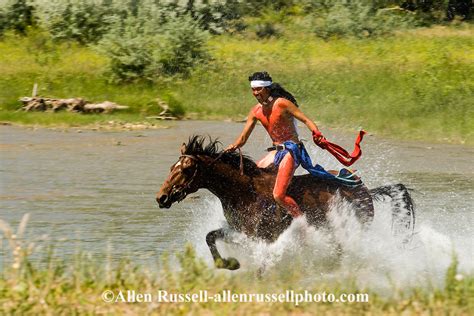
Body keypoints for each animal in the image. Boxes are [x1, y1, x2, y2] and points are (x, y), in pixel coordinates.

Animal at [156, 135, 414, 270]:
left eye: (186, 169)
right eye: (171, 168)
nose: (162, 197)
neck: (243, 192)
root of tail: (366, 190)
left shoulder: (267, 237)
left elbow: (263, 262)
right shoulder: (241, 231)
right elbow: (210, 236)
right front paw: (229, 263)